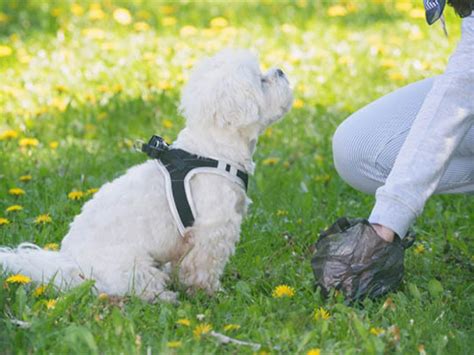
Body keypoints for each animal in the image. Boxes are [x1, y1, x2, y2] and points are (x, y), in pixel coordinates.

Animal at [0, 48, 292, 302]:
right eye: (261, 80)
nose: (281, 70)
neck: (213, 150)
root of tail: (72, 266)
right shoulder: (213, 230)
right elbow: (203, 268)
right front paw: (208, 293)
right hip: (132, 268)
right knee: (137, 287)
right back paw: (164, 297)